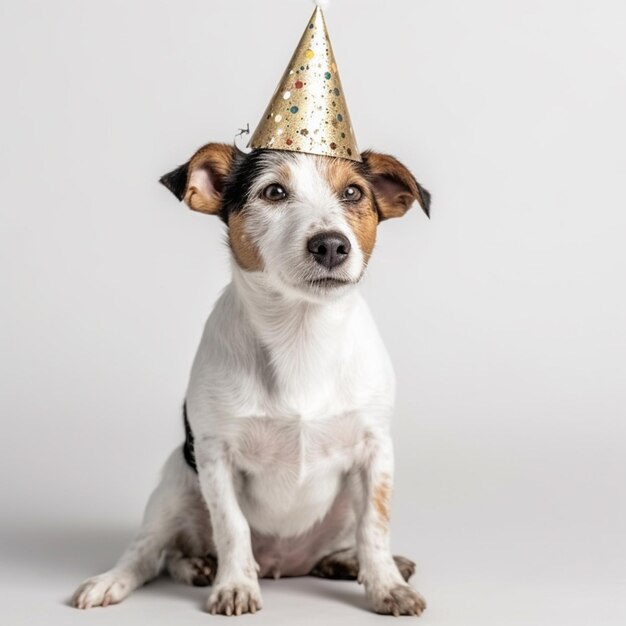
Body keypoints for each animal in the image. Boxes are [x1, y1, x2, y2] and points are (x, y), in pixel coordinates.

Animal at [68, 143, 428, 616]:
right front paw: (235, 585)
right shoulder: (215, 455)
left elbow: (375, 525)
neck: (302, 336)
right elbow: (232, 526)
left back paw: (348, 562)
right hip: (175, 486)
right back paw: (158, 573)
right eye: (273, 191)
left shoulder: (375, 451)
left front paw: (387, 585)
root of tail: (286, 565)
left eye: (353, 192)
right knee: (150, 553)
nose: (332, 245)